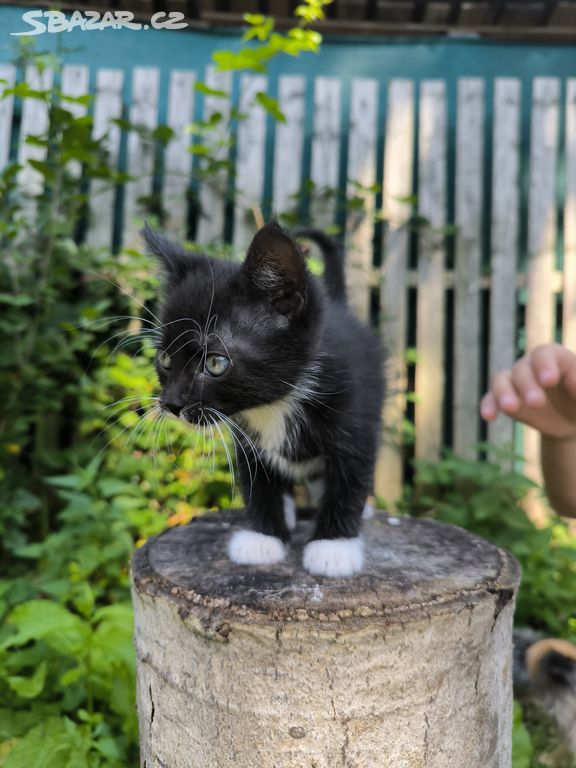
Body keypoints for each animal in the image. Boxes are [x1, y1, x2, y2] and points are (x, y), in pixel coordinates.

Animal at [144, 220, 384, 576]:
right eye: (165, 359)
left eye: (215, 363)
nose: (172, 405)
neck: (275, 404)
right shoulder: (246, 437)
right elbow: (256, 477)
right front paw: (263, 536)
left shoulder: (358, 416)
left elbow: (350, 477)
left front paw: (333, 546)